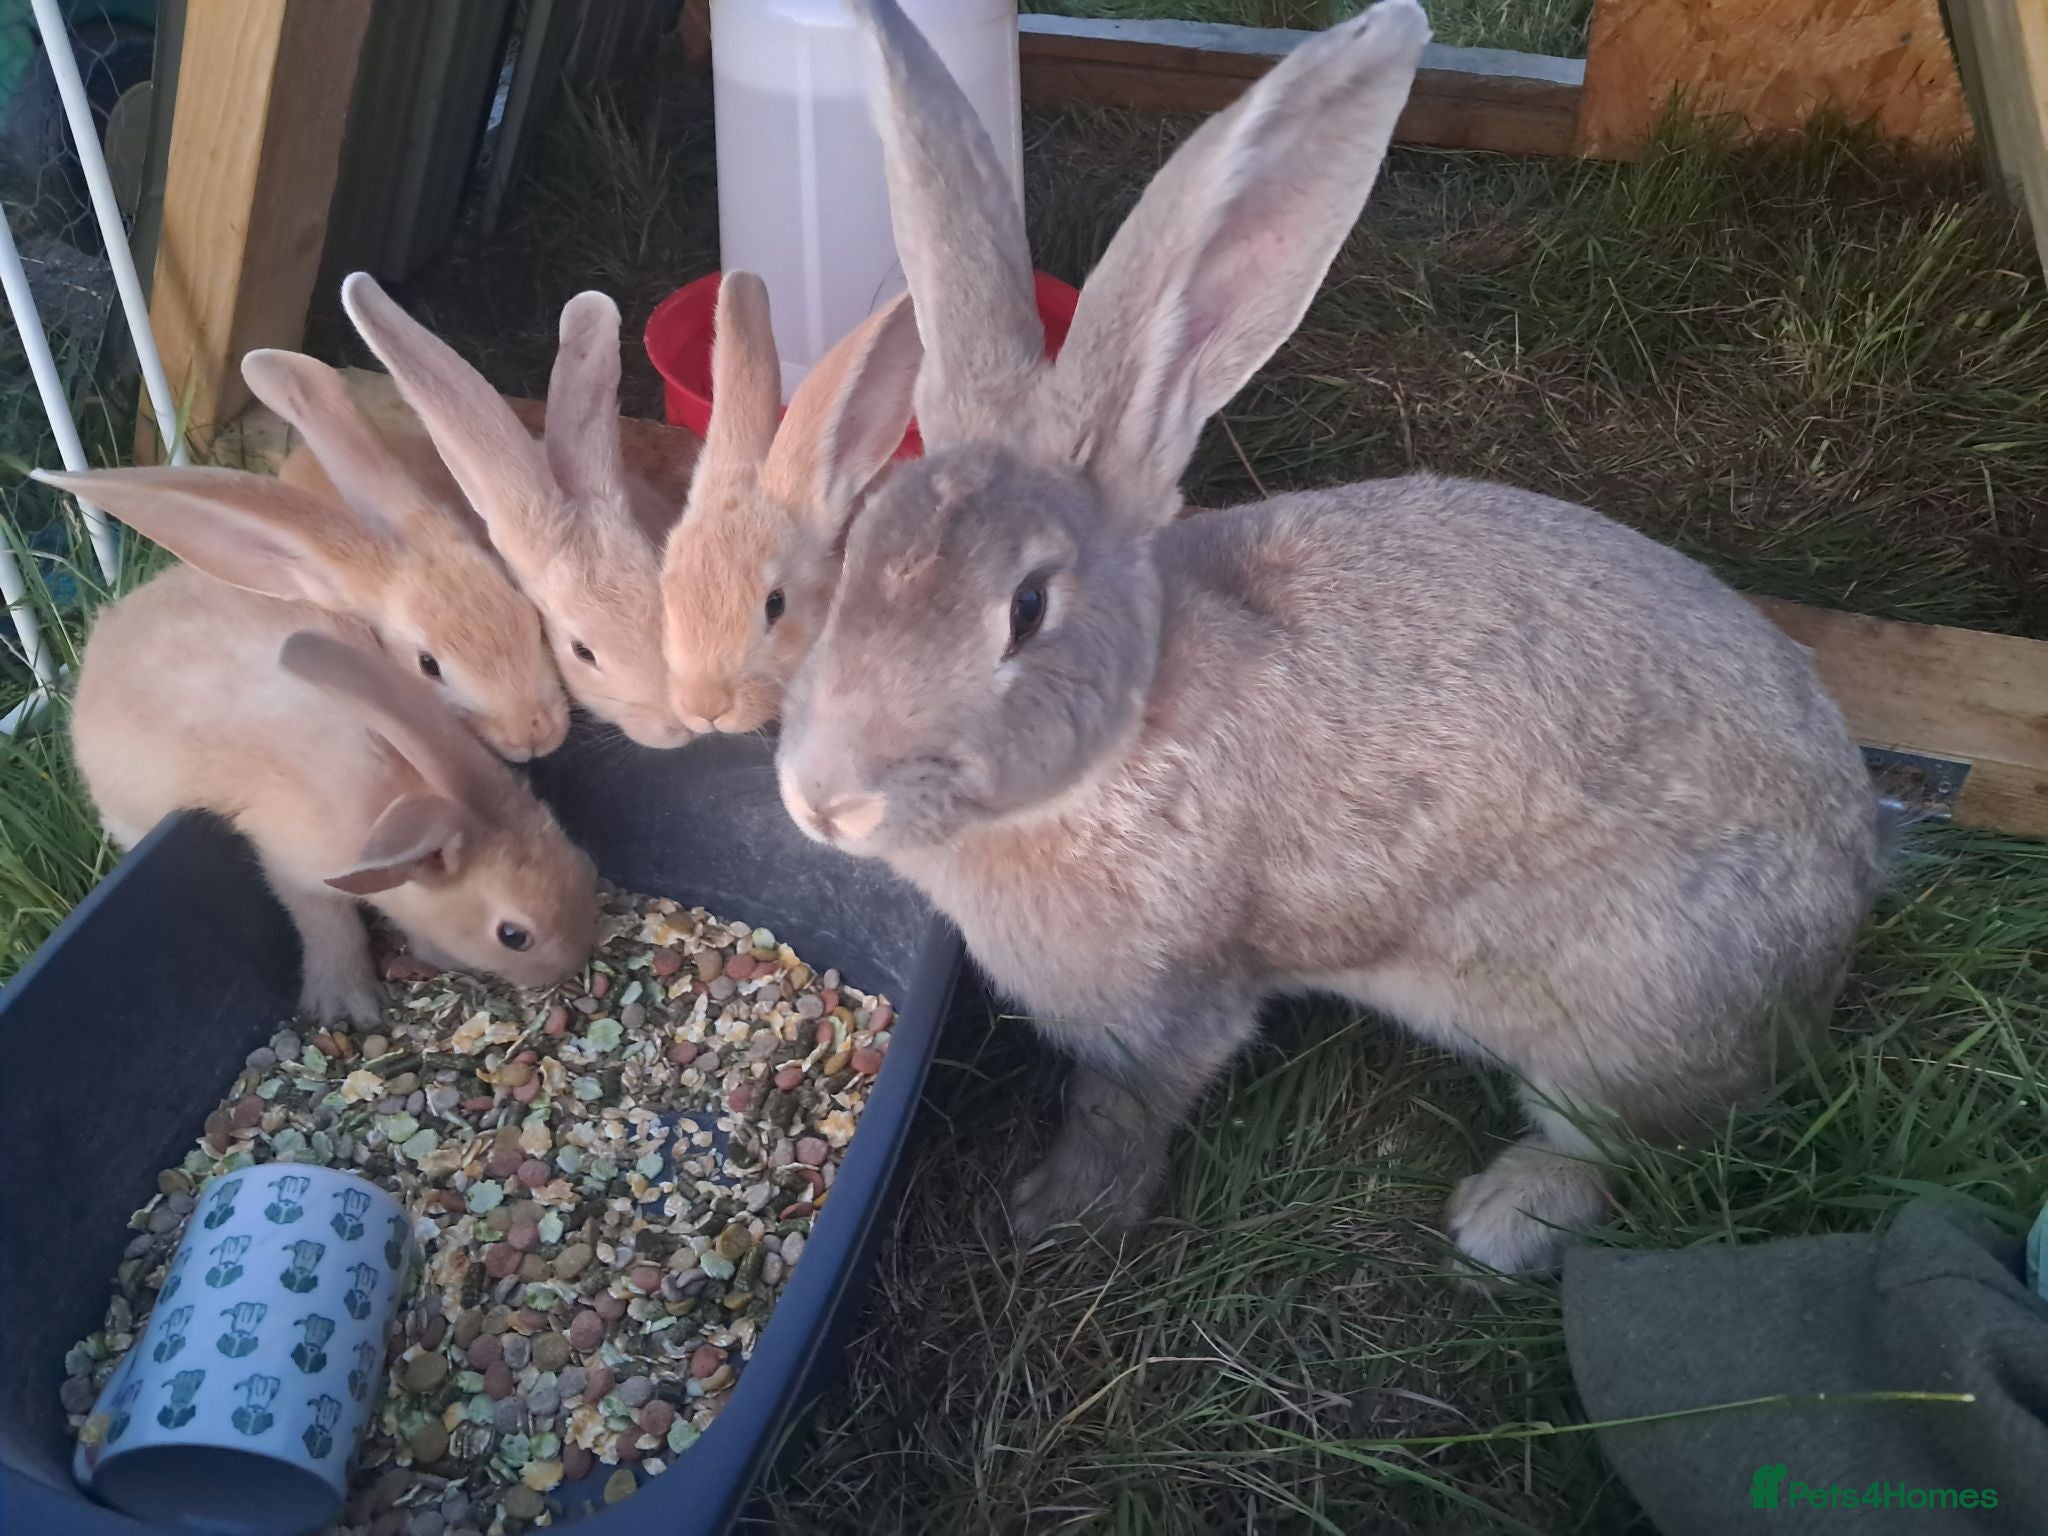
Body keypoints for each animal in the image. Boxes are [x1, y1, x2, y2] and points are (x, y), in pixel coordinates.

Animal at [66, 567, 598, 1024]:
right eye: (514, 936)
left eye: (584, 864)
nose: (571, 963)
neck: (394, 797)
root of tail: (104, 637)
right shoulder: (293, 867)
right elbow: (328, 927)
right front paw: (346, 1005)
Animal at [772, 0, 1887, 1274]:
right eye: (853, 555)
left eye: (1024, 610)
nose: (823, 800)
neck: (1126, 734)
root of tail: (1848, 903)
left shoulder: (1166, 1012)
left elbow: (1121, 1112)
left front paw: (1058, 1217)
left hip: (1625, 1019)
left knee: (1636, 1143)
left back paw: (1502, 1218)